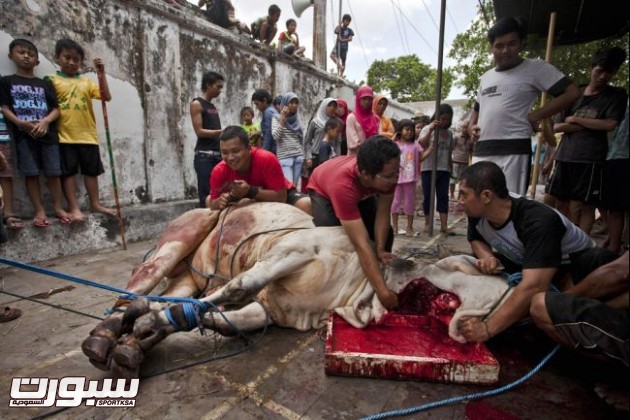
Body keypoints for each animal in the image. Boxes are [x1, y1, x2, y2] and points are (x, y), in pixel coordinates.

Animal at [81, 200, 512, 378]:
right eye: (464, 270)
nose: (471, 329)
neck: (352, 292)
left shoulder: (274, 309)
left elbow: (224, 315)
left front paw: (152, 328)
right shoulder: (293, 251)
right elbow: (236, 289)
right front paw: (149, 324)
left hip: (188, 273)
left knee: (162, 297)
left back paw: (126, 345)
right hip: (176, 243)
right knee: (132, 291)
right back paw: (103, 338)